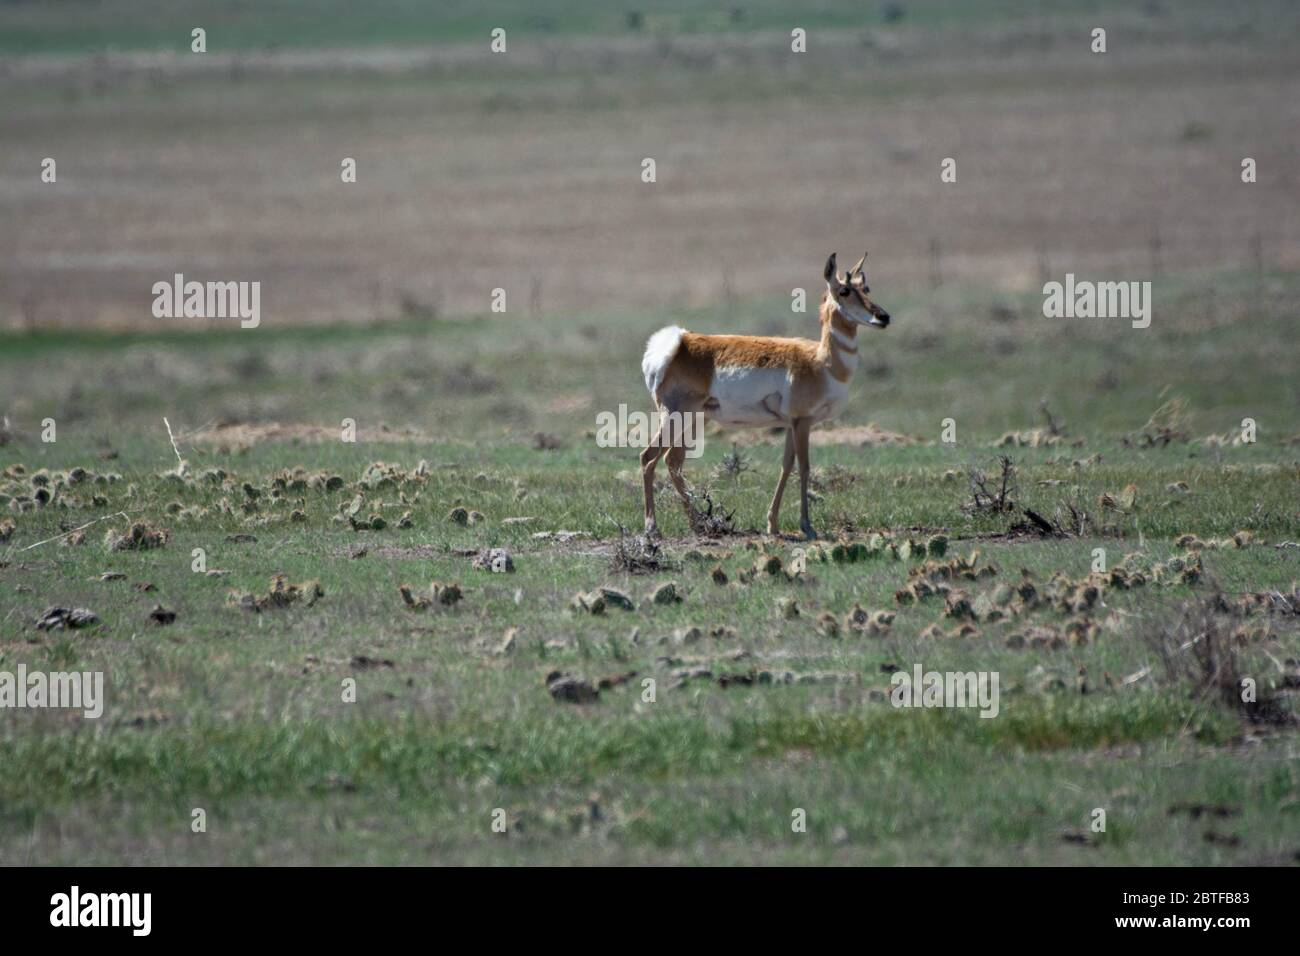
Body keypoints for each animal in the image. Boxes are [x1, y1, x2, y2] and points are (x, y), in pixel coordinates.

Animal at [642, 252, 889, 538]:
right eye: (845, 290)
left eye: (866, 288)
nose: (883, 317)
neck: (821, 361)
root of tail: (678, 343)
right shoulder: (803, 422)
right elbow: (804, 467)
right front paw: (807, 526)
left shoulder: (792, 424)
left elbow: (787, 466)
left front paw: (773, 524)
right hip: (674, 416)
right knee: (648, 458)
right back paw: (653, 528)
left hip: (695, 419)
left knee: (673, 460)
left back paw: (698, 524)